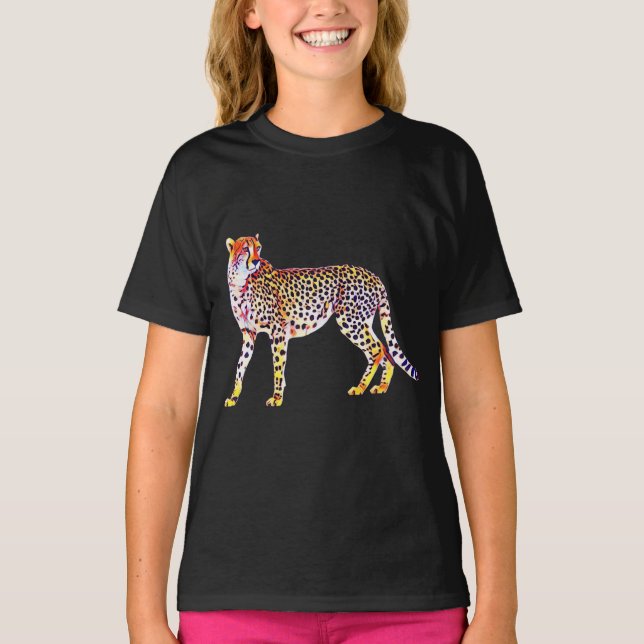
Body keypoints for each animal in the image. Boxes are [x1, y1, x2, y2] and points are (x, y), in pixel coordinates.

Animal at [225, 234, 419, 407]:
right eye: (245, 249)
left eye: (258, 248)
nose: (256, 261)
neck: (240, 282)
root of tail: (373, 275)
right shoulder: (248, 334)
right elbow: (240, 366)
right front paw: (233, 397)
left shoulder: (278, 331)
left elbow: (278, 366)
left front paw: (277, 397)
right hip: (362, 322)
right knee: (384, 349)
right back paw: (382, 386)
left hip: (350, 321)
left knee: (376, 350)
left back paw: (360, 387)